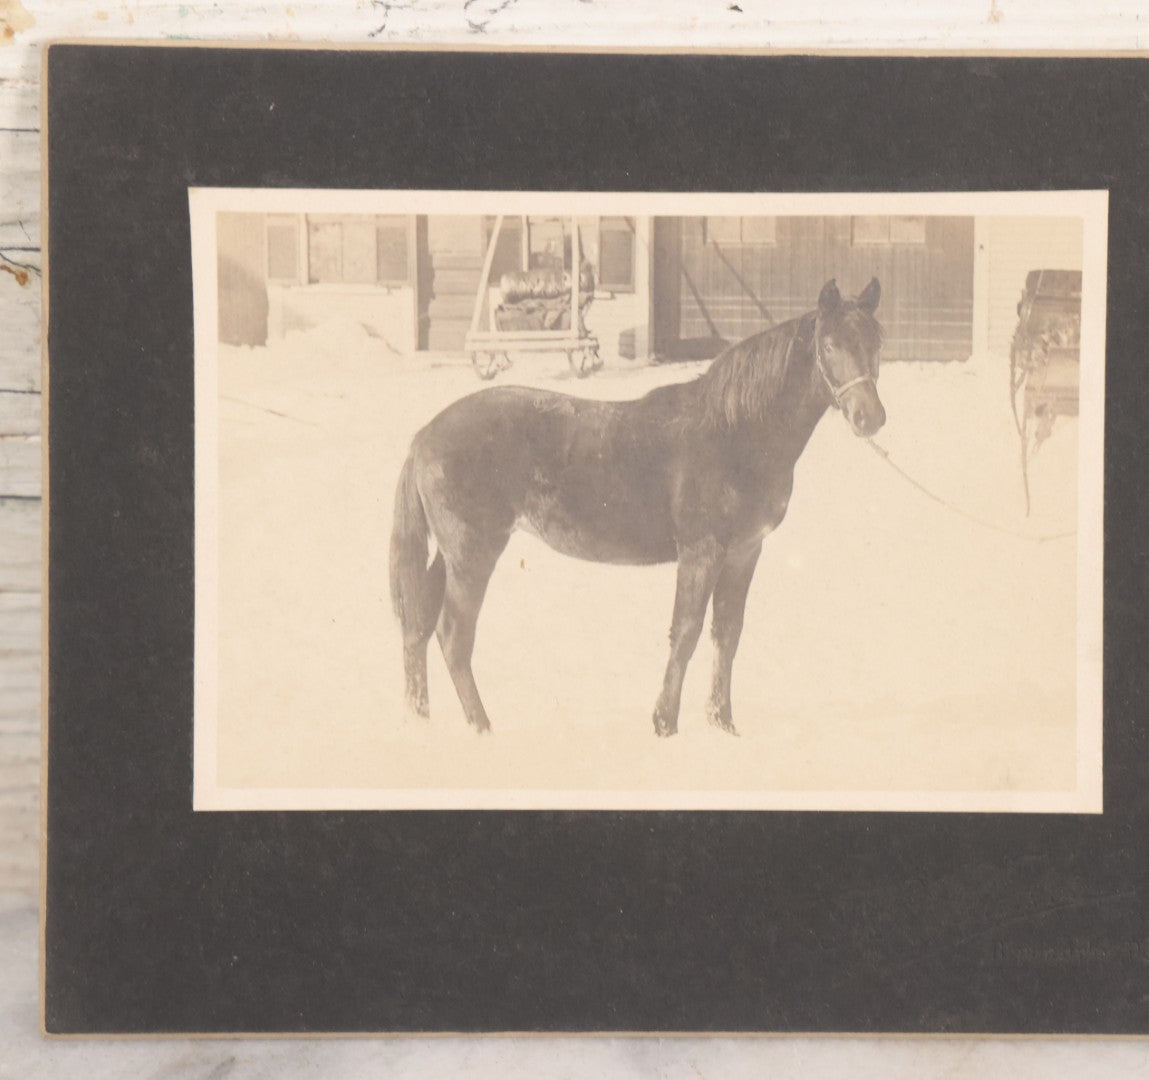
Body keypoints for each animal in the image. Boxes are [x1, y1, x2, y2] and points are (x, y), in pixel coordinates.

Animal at [389, 278, 885, 737]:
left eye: (876, 343)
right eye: (830, 345)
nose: (870, 418)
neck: (734, 433)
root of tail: (423, 435)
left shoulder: (744, 552)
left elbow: (727, 634)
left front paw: (722, 724)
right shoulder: (701, 551)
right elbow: (685, 633)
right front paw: (665, 723)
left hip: (448, 555)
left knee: (416, 625)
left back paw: (420, 719)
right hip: (472, 554)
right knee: (452, 635)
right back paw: (482, 727)